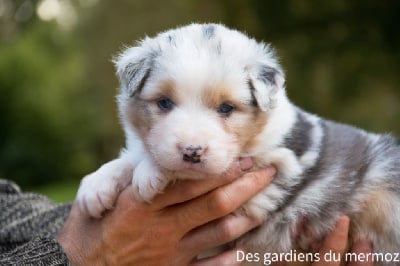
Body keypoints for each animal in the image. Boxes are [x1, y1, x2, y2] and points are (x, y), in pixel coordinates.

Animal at [76, 24, 400, 264]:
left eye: (226, 108)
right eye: (164, 103)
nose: (192, 151)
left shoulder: (275, 165)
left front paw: (149, 173)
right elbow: (133, 156)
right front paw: (96, 186)